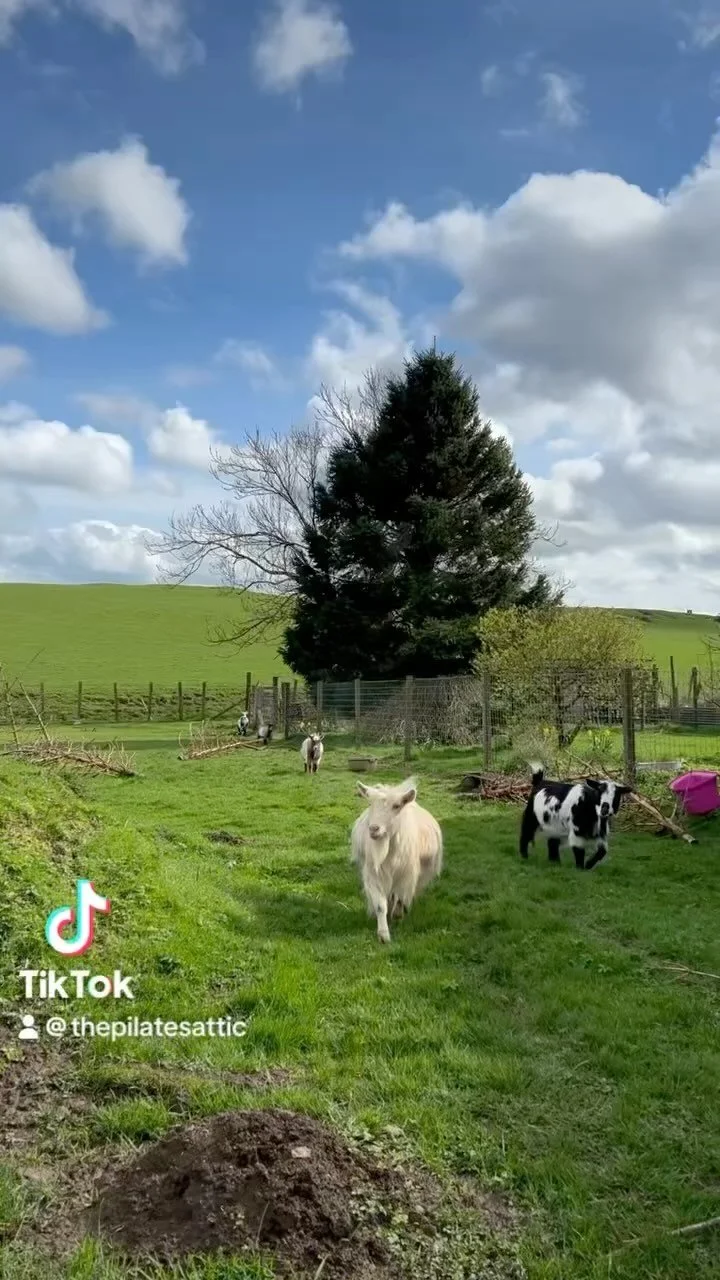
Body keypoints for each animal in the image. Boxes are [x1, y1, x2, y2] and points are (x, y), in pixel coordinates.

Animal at [351, 777, 443, 943]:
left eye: (396, 806)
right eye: (370, 803)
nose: (374, 829)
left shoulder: (407, 874)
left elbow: (401, 897)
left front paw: (398, 915)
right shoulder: (374, 874)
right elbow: (380, 904)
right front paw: (383, 935)